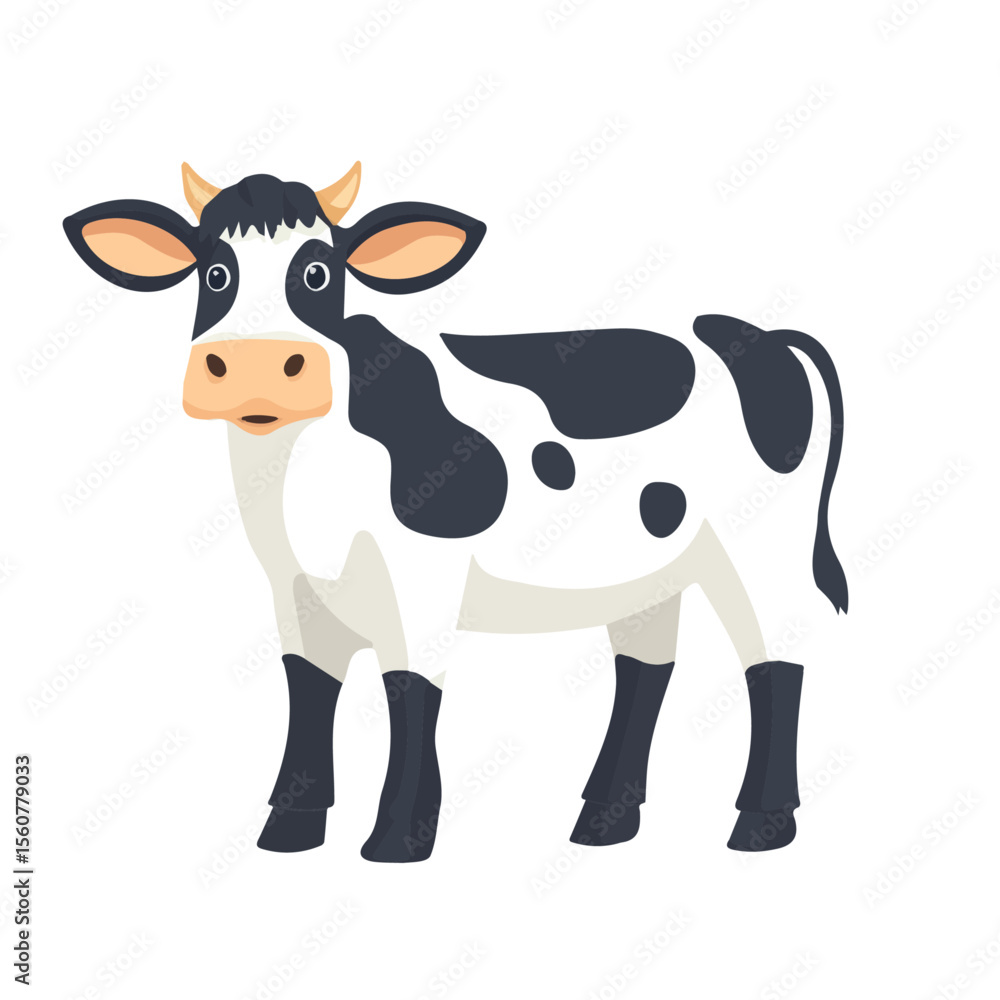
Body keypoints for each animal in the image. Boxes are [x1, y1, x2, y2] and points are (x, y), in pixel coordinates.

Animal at [63, 162, 847, 863]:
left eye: (318, 273)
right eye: (214, 274)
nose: (258, 370)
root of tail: (761, 336)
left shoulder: (421, 581)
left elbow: (409, 692)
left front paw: (397, 840)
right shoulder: (294, 589)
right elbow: (308, 696)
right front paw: (288, 833)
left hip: (759, 546)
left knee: (777, 660)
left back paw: (760, 826)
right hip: (648, 563)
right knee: (646, 668)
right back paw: (602, 823)